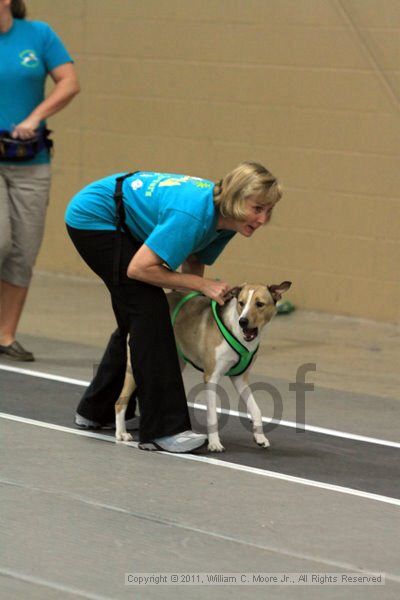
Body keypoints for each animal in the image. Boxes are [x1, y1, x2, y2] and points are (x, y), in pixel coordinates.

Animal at [115, 282, 290, 450]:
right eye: (241, 303)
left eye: (259, 304)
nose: (243, 321)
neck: (235, 330)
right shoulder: (211, 377)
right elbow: (212, 415)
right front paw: (214, 444)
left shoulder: (240, 378)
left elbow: (256, 409)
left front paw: (260, 438)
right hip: (134, 368)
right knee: (119, 402)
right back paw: (121, 433)